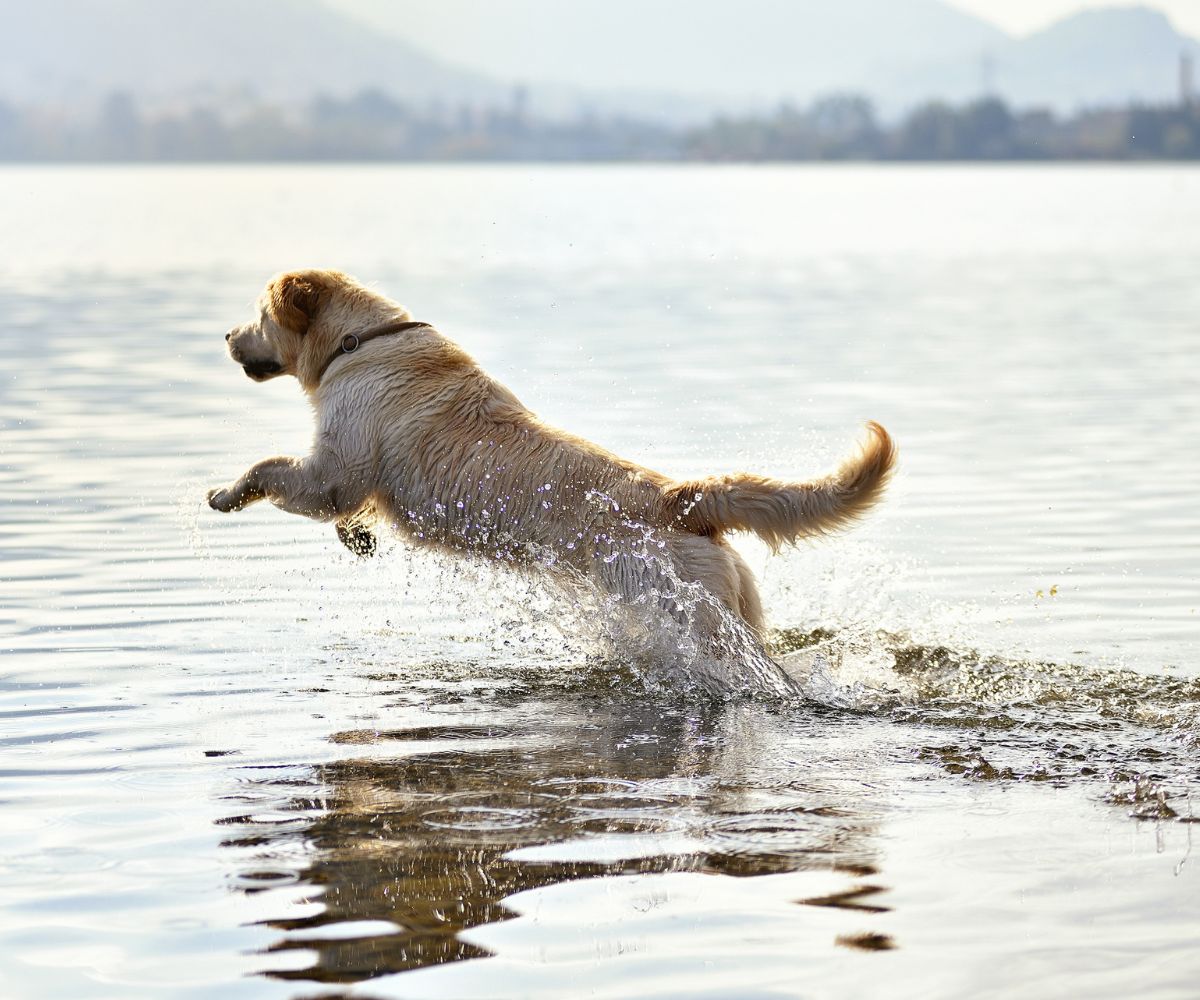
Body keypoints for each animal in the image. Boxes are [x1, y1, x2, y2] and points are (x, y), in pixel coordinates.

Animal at [211, 268, 897, 667]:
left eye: (259, 315)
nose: (225, 335)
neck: (359, 342)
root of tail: (679, 497)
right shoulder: (346, 475)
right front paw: (355, 535)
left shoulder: (336, 466)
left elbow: (273, 468)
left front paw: (225, 493)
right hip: (738, 603)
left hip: (677, 608)